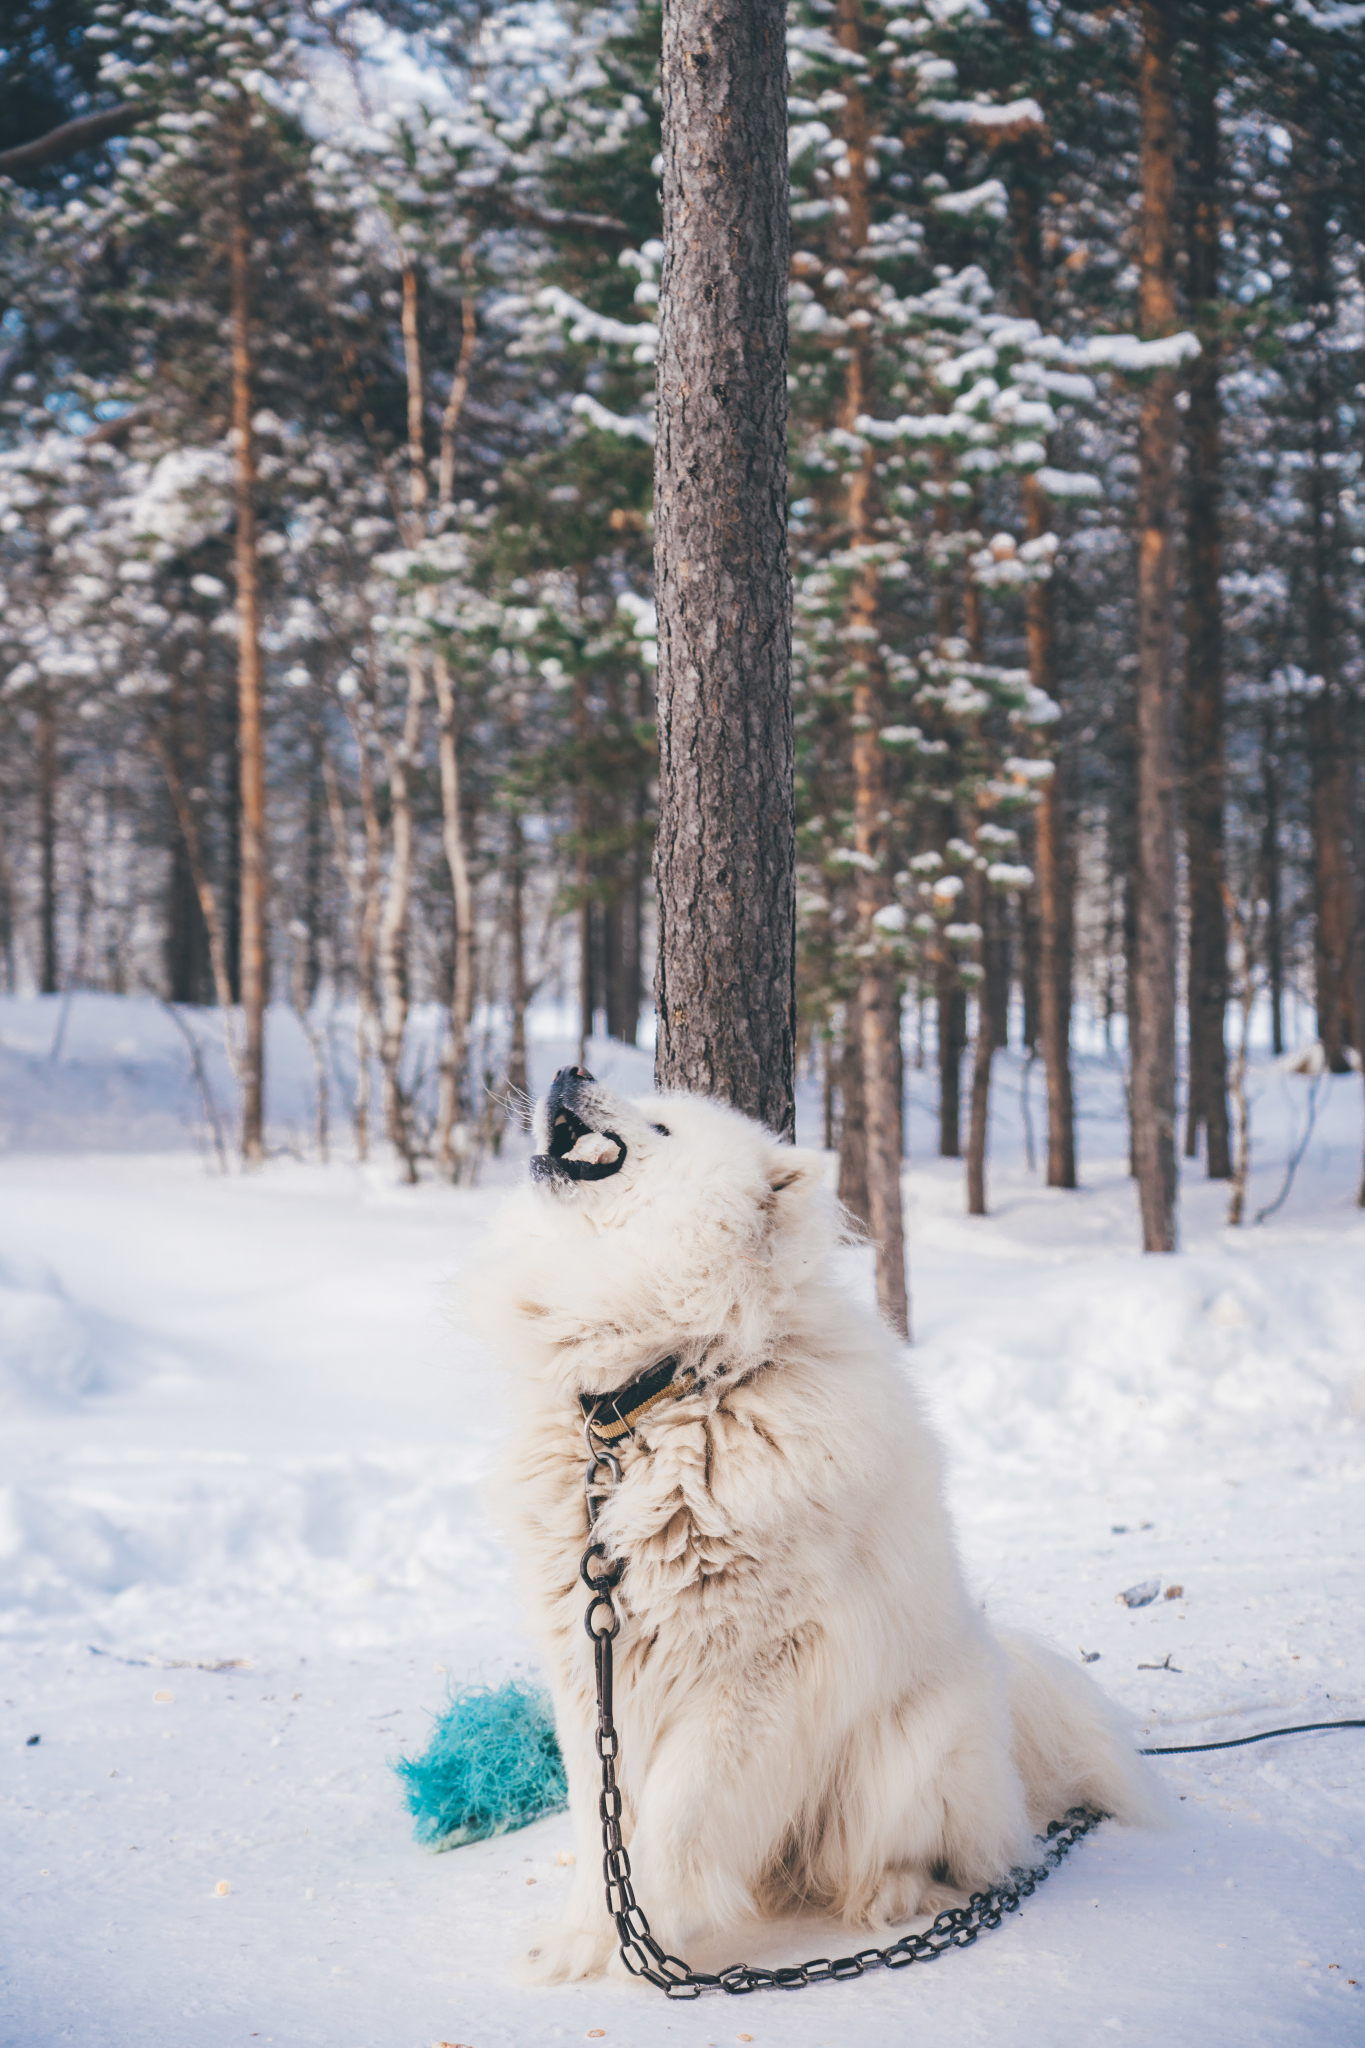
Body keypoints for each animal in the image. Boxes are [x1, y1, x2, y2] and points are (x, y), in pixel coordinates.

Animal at [472, 1073, 1162, 1982]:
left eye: (659, 1124)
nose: (571, 1072)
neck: (662, 1394)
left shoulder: (759, 1671)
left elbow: (673, 1813)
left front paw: (654, 1930)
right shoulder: (595, 1661)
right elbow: (602, 1819)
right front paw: (584, 1942)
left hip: (906, 1751)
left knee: (931, 1853)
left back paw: (887, 1898)